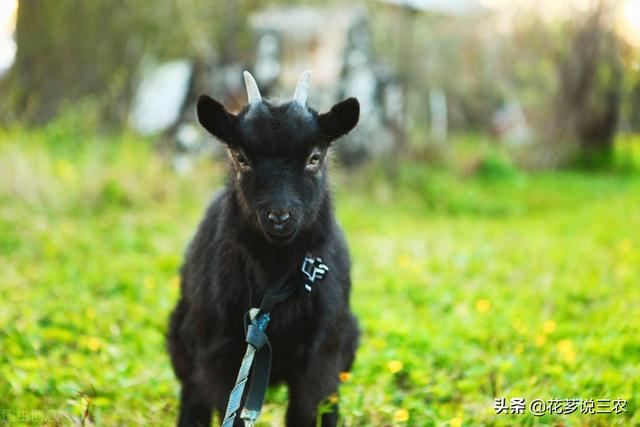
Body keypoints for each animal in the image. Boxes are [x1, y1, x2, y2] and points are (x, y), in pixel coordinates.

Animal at [168, 72, 360, 426]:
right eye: (241, 158)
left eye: (315, 158)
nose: (279, 218)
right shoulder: (222, 354)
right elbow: (232, 410)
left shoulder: (323, 356)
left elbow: (306, 411)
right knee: (194, 399)